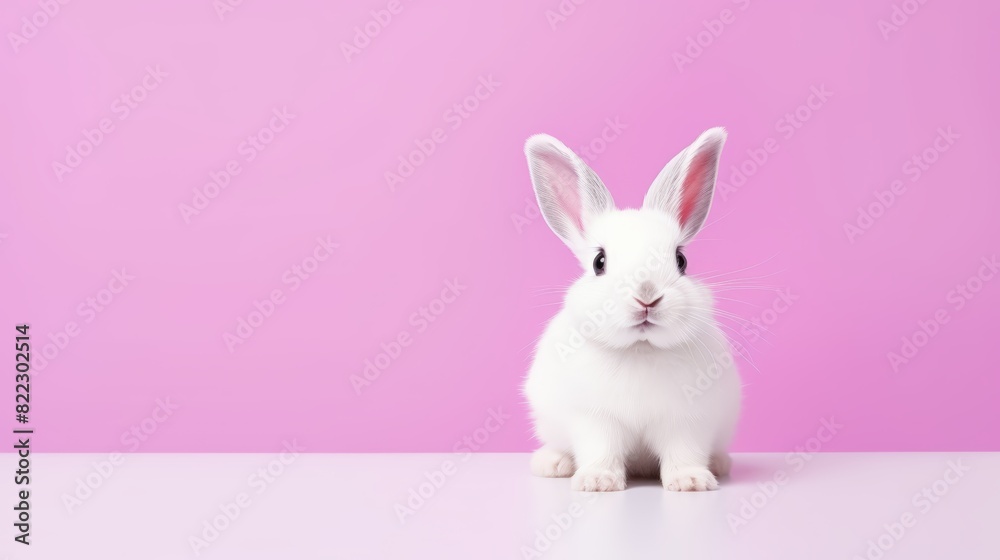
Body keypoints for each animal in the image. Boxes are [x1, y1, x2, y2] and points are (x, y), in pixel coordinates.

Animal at [522, 127, 741, 492]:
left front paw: (691, 481)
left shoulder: (687, 420)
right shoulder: (594, 419)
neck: (641, 348)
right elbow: (601, 450)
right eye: (599, 262)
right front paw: (597, 482)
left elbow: (684, 451)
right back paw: (552, 463)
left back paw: (721, 464)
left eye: (681, 260)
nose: (647, 295)